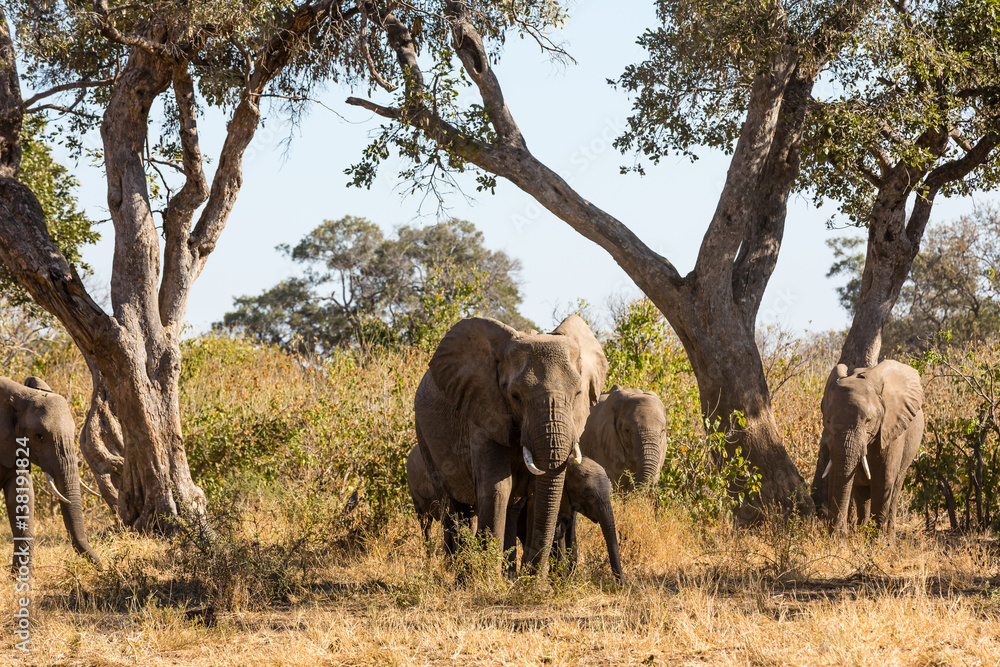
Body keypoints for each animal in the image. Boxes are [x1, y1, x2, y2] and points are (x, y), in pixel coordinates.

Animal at [413, 315, 608, 576]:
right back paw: (461, 575)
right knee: (452, 506)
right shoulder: (484, 410)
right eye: (515, 396)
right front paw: (487, 580)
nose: (531, 574)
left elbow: (536, 492)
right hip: (424, 436)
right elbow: (497, 488)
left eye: (578, 394)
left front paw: (531, 582)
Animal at [817, 361, 924, 534]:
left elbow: (883, 480)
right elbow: (834, 476)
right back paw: (860, 531)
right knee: (862, 496)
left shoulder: (891, 429)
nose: (840, 533)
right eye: (827, 421)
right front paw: (837, 536)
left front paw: (877, 540)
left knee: (894, 492)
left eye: (868, 420)